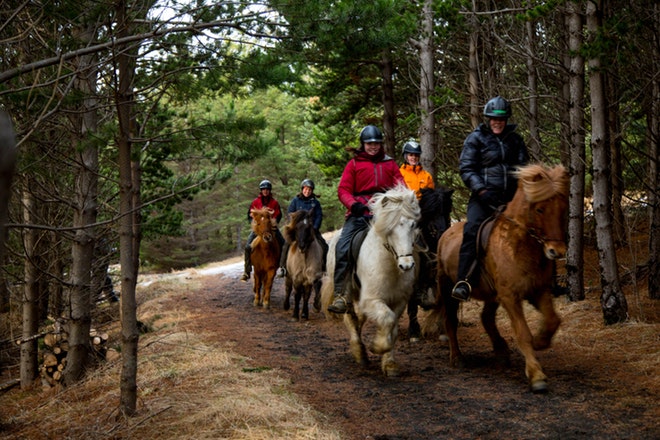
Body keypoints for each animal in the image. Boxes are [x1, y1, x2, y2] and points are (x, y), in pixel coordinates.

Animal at [320, 184, 422, 376]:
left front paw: (389, 364)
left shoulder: (399, 301)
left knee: (358, 319)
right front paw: (377, 347)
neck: (390, 266)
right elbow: (387, 319)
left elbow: (393, 328)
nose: (406, 265)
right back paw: (359, 353)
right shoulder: (371, 300)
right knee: (350, 318)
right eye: (390, 228)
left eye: (413, 225)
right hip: (349, 294)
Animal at [408, 186, 454, 340]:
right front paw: (413, 332)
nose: (440, 232)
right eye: (430, 210)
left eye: (447, 209)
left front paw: (443, 330)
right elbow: (412, 304)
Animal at [426, 163, 568, 394]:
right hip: (448, 289)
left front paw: (540, 341)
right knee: (451, 321)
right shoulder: (510, 297)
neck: (519, 245)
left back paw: (501, 350)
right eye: (539, 209)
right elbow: (522, 333)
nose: (557, 251)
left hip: (492, 294)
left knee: (486, 318)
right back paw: (457, 358)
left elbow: (553, 320)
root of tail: (445, 233)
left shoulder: (539, 291)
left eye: (563, 209)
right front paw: (536, 375)